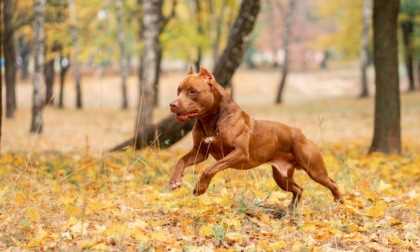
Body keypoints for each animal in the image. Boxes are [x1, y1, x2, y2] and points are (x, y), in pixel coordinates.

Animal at [169, 66, 342, 208]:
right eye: (178, 90)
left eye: (192, 91)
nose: (172, 104)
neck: (211, 119)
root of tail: (300, 132)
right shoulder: (200, 152)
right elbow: (181, 161)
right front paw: (174, 181)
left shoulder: (239, 153)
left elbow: (209, 168)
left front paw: (200, 187)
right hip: (281, 177)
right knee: (298, 189)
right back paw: (291, 210)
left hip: (314, 170)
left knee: (332, 183)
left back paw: (339, 203)